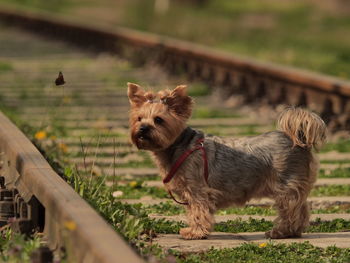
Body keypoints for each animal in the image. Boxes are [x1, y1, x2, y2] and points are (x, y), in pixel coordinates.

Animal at [127, 83, 326, 241]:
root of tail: (298, 139)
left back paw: (280, 232)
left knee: (291, 211)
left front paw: (195, 233)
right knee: (302, 209)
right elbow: (192, 212)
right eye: (138, 118)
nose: (143, 128)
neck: (179, 145)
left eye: (158, 120)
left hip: (286, 186)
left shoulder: (198, 190)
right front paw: (194, 230)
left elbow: (198, 211)